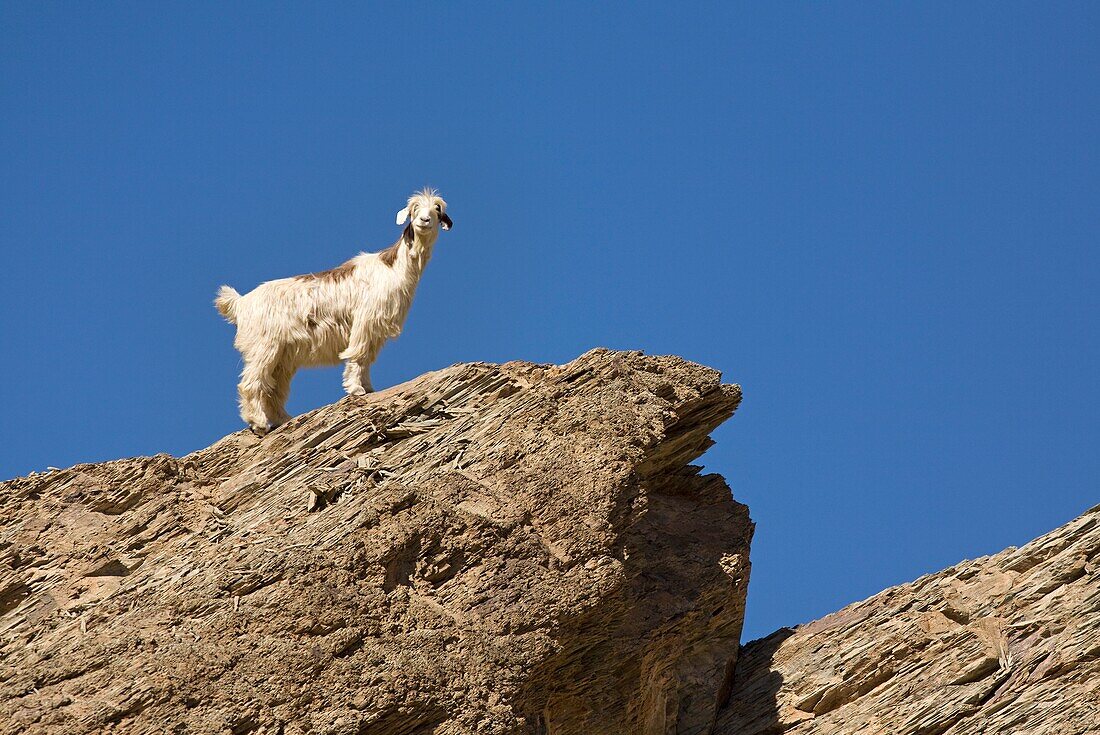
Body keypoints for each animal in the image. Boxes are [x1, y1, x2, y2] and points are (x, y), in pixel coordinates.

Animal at [210, 187, 451, 433]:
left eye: (437, 209)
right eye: (413, 208)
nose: (424, 220)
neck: (392, 268)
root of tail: (240, 303)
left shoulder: (376, 329)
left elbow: (367, 358)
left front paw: (368, 387)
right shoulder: (364, 320)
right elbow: (357, 354)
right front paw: (356, 389)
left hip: (283, 356)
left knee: (274, 389)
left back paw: (283, 418)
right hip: (264, 346)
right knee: (251, 383)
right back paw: (258, 423)